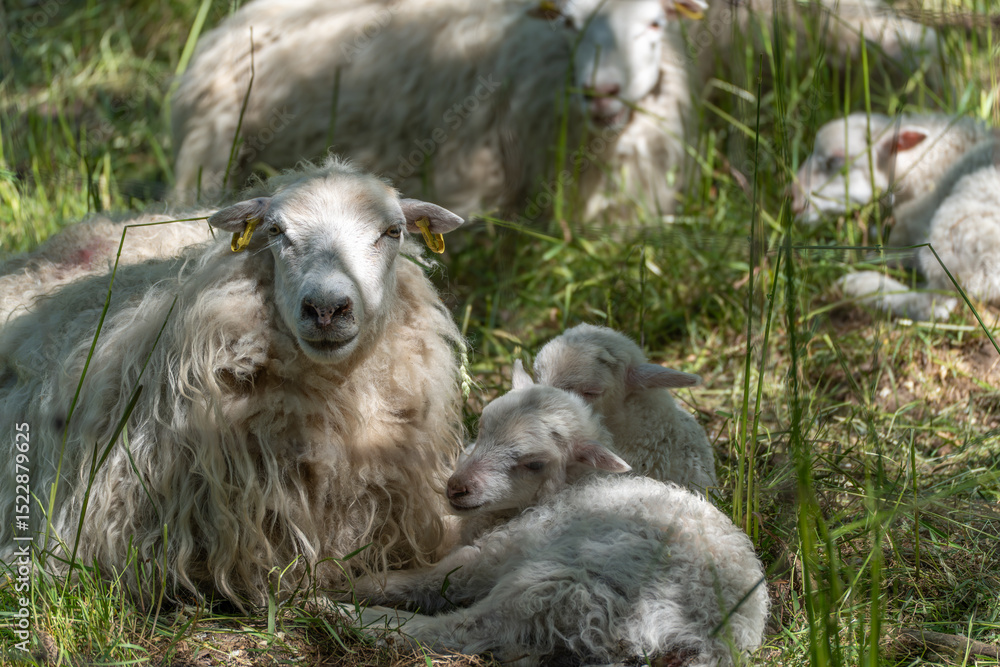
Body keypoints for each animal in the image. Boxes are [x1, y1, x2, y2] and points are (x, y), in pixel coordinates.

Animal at [348, 382, 769, 666]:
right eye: (481, 428)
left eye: (534, 463)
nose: (456, 488)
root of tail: (714, 638)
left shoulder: (497, 551)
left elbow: (424, 579)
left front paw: (349, 583)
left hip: (561, 586)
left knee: (459, 629)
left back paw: (345, 615)